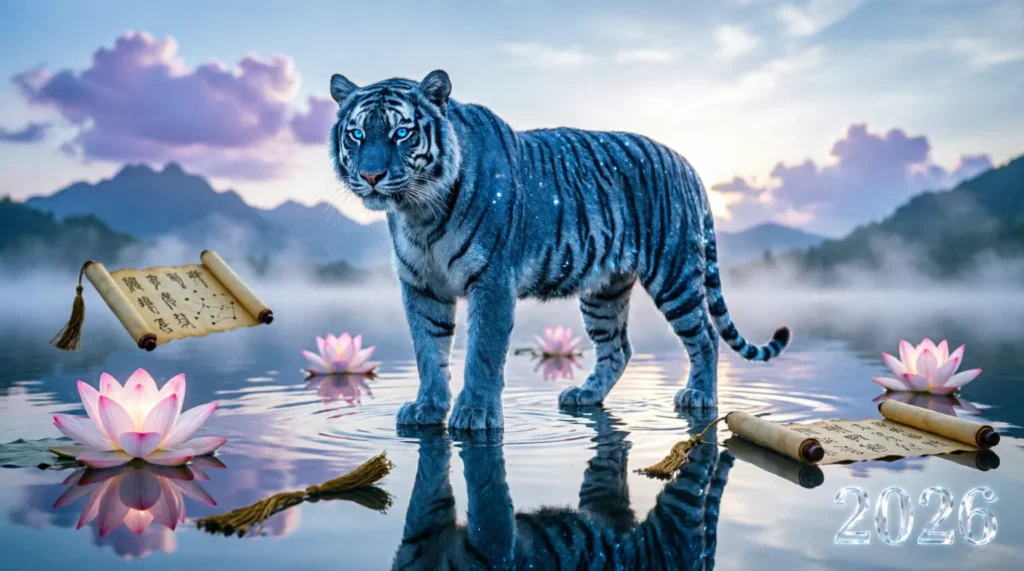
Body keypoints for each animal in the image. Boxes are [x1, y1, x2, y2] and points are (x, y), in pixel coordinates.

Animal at [328, 69, 790, 430]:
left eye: (401, 132)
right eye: (357, 134)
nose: (371, 176)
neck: (418, 212)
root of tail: (689, 165)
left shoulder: (491, 282)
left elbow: (482, 353)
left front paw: (475, 414)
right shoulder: (421, 287)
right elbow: (428, 350)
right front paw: (427, 408)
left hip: (673, 274)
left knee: (706, 336)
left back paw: (699, 397)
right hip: (603, 291)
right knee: (618, 348)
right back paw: (584, 395)